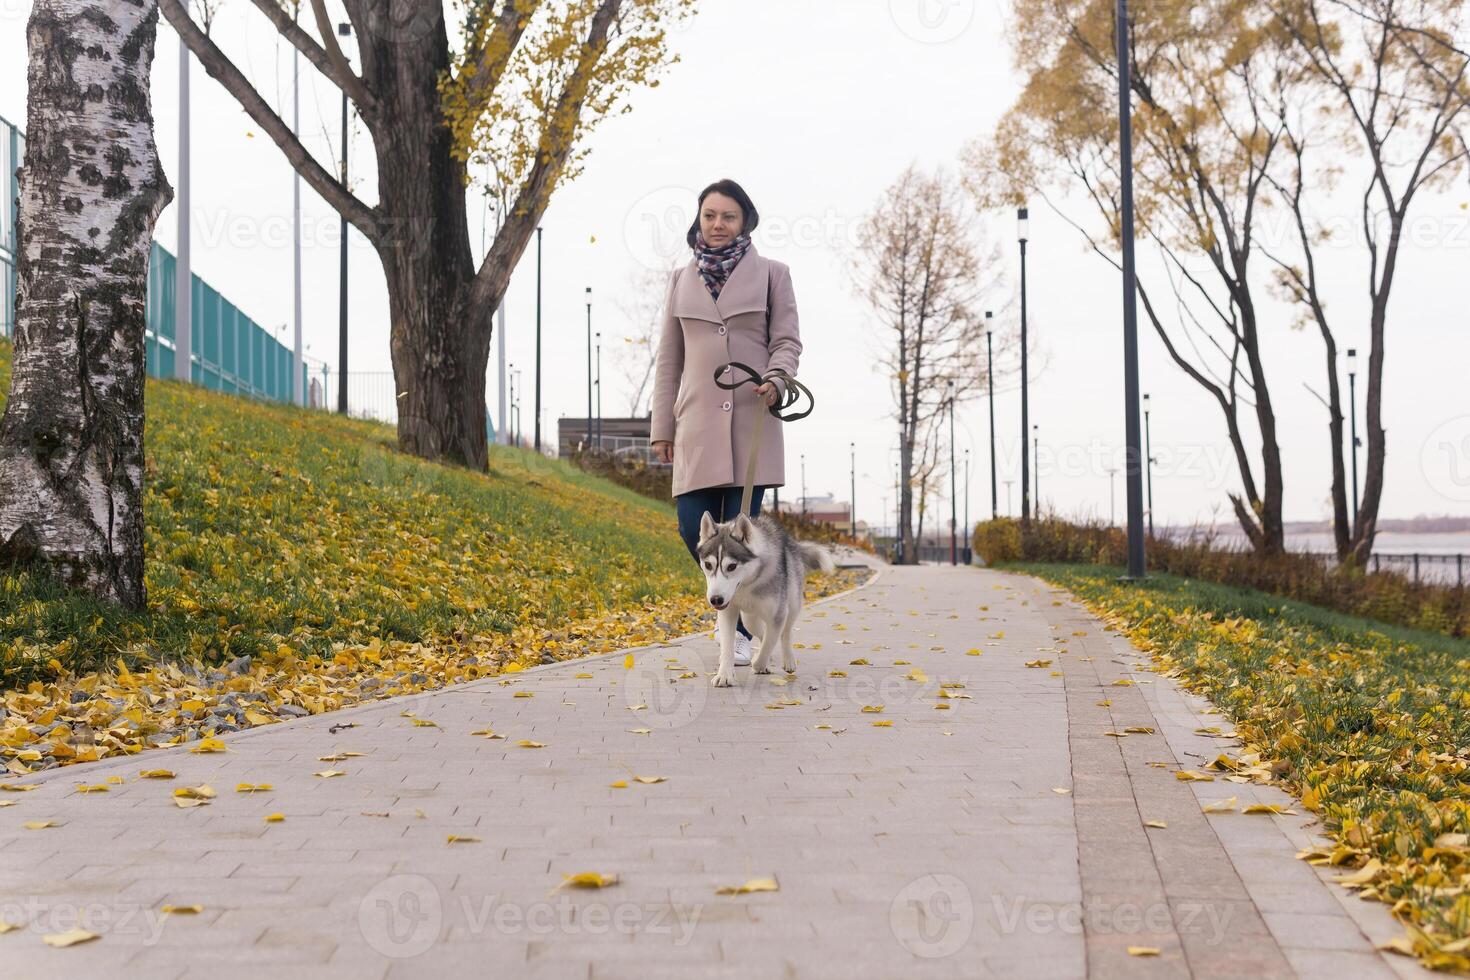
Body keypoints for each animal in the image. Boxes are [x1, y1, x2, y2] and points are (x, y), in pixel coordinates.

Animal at [693, 514, 834, 690]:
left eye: (732, 566)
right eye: (708, 565)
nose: (716, 600)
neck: (747, 584)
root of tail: (792, 542)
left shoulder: (778, 615)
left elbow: (769, 643)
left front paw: (759, 664)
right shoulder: (728, 611)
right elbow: (728, 646)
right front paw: (724, 674)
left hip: (792, 603)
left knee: (785, 632)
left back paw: (788, 659)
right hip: (748, 618)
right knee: (759, 631)